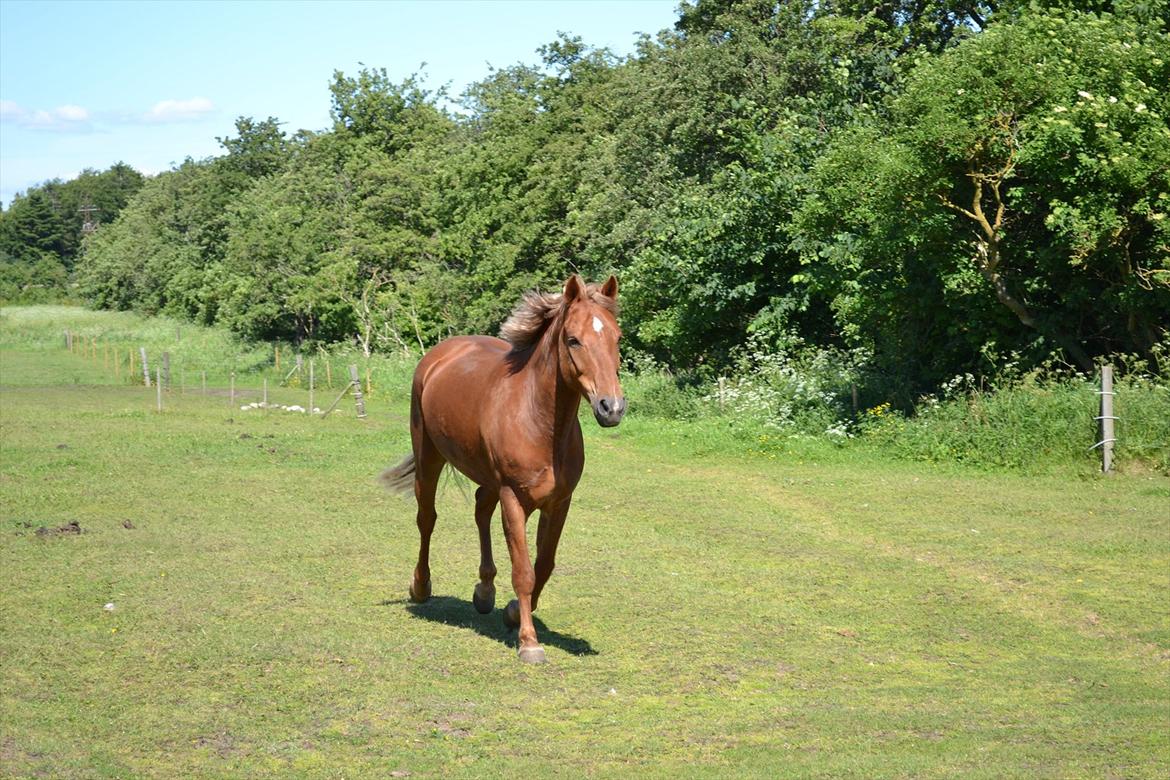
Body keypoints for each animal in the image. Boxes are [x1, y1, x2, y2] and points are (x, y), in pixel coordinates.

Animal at [381, 275, 622, 664]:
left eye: (617, 338)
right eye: (573, 339)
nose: (611, 407)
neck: (540, 422)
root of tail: (440, 355)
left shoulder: (559, 503)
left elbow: (544, 564)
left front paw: (510, 612)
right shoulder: (514, 498)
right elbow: (523, 571)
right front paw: (529, 642)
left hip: (486, 477)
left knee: (480, 509)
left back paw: (484, 592)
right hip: (429, 457)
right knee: (427, 518)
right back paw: (420, 586)